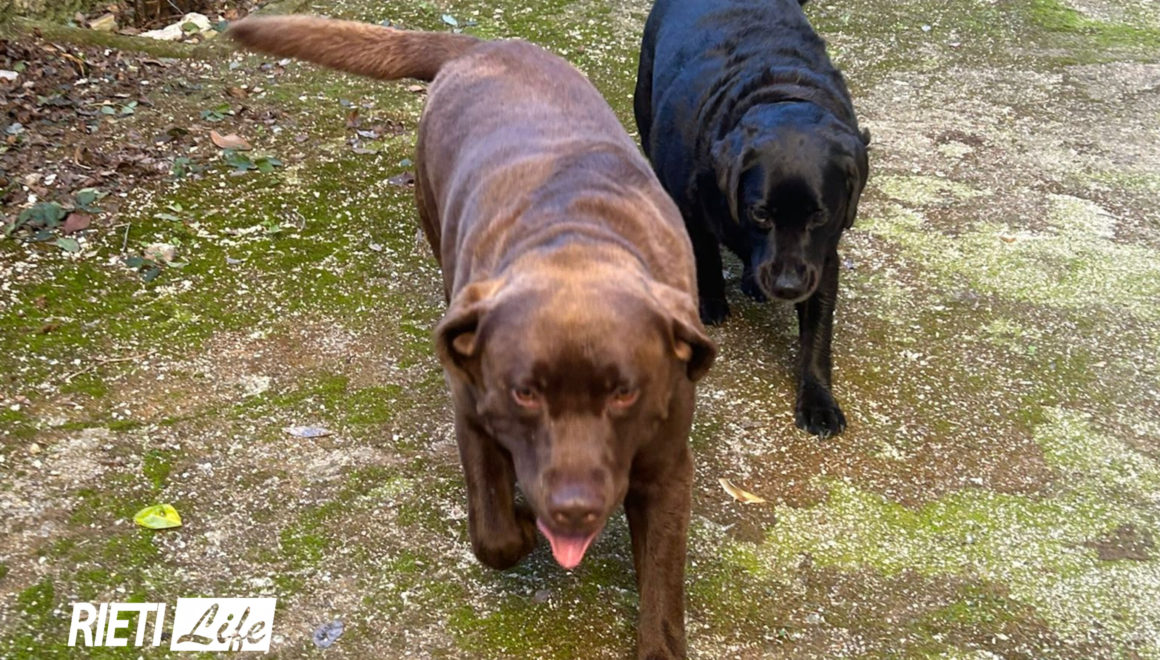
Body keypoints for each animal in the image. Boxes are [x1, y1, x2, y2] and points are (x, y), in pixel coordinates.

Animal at [229, 16, 716, 658]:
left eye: (624, 394)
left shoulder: (666, 467)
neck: (577, 240)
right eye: (524, 393)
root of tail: (480, 46)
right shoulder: (474, 412)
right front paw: (520, 528)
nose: (573, 511)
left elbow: (662, 583)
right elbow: (493, 533)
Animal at [634, 0, 869, 437]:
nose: (788, 285)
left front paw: (819, 401)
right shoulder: (690, 205)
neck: (779, 93)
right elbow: (706, 253)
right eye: (760, 212)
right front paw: (711, 302)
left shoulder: (823, 260)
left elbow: (817, 336)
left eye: (819, 216)